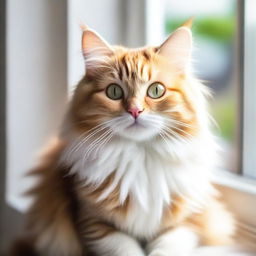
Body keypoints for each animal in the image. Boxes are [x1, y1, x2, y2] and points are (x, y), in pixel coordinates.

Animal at [11, 20, 237, 256]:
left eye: (156, 90)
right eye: (114, 92)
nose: (135, 111)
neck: (141, 159)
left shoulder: (191, 219)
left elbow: (167, 246)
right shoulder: (92, 222)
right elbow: (124, 248)